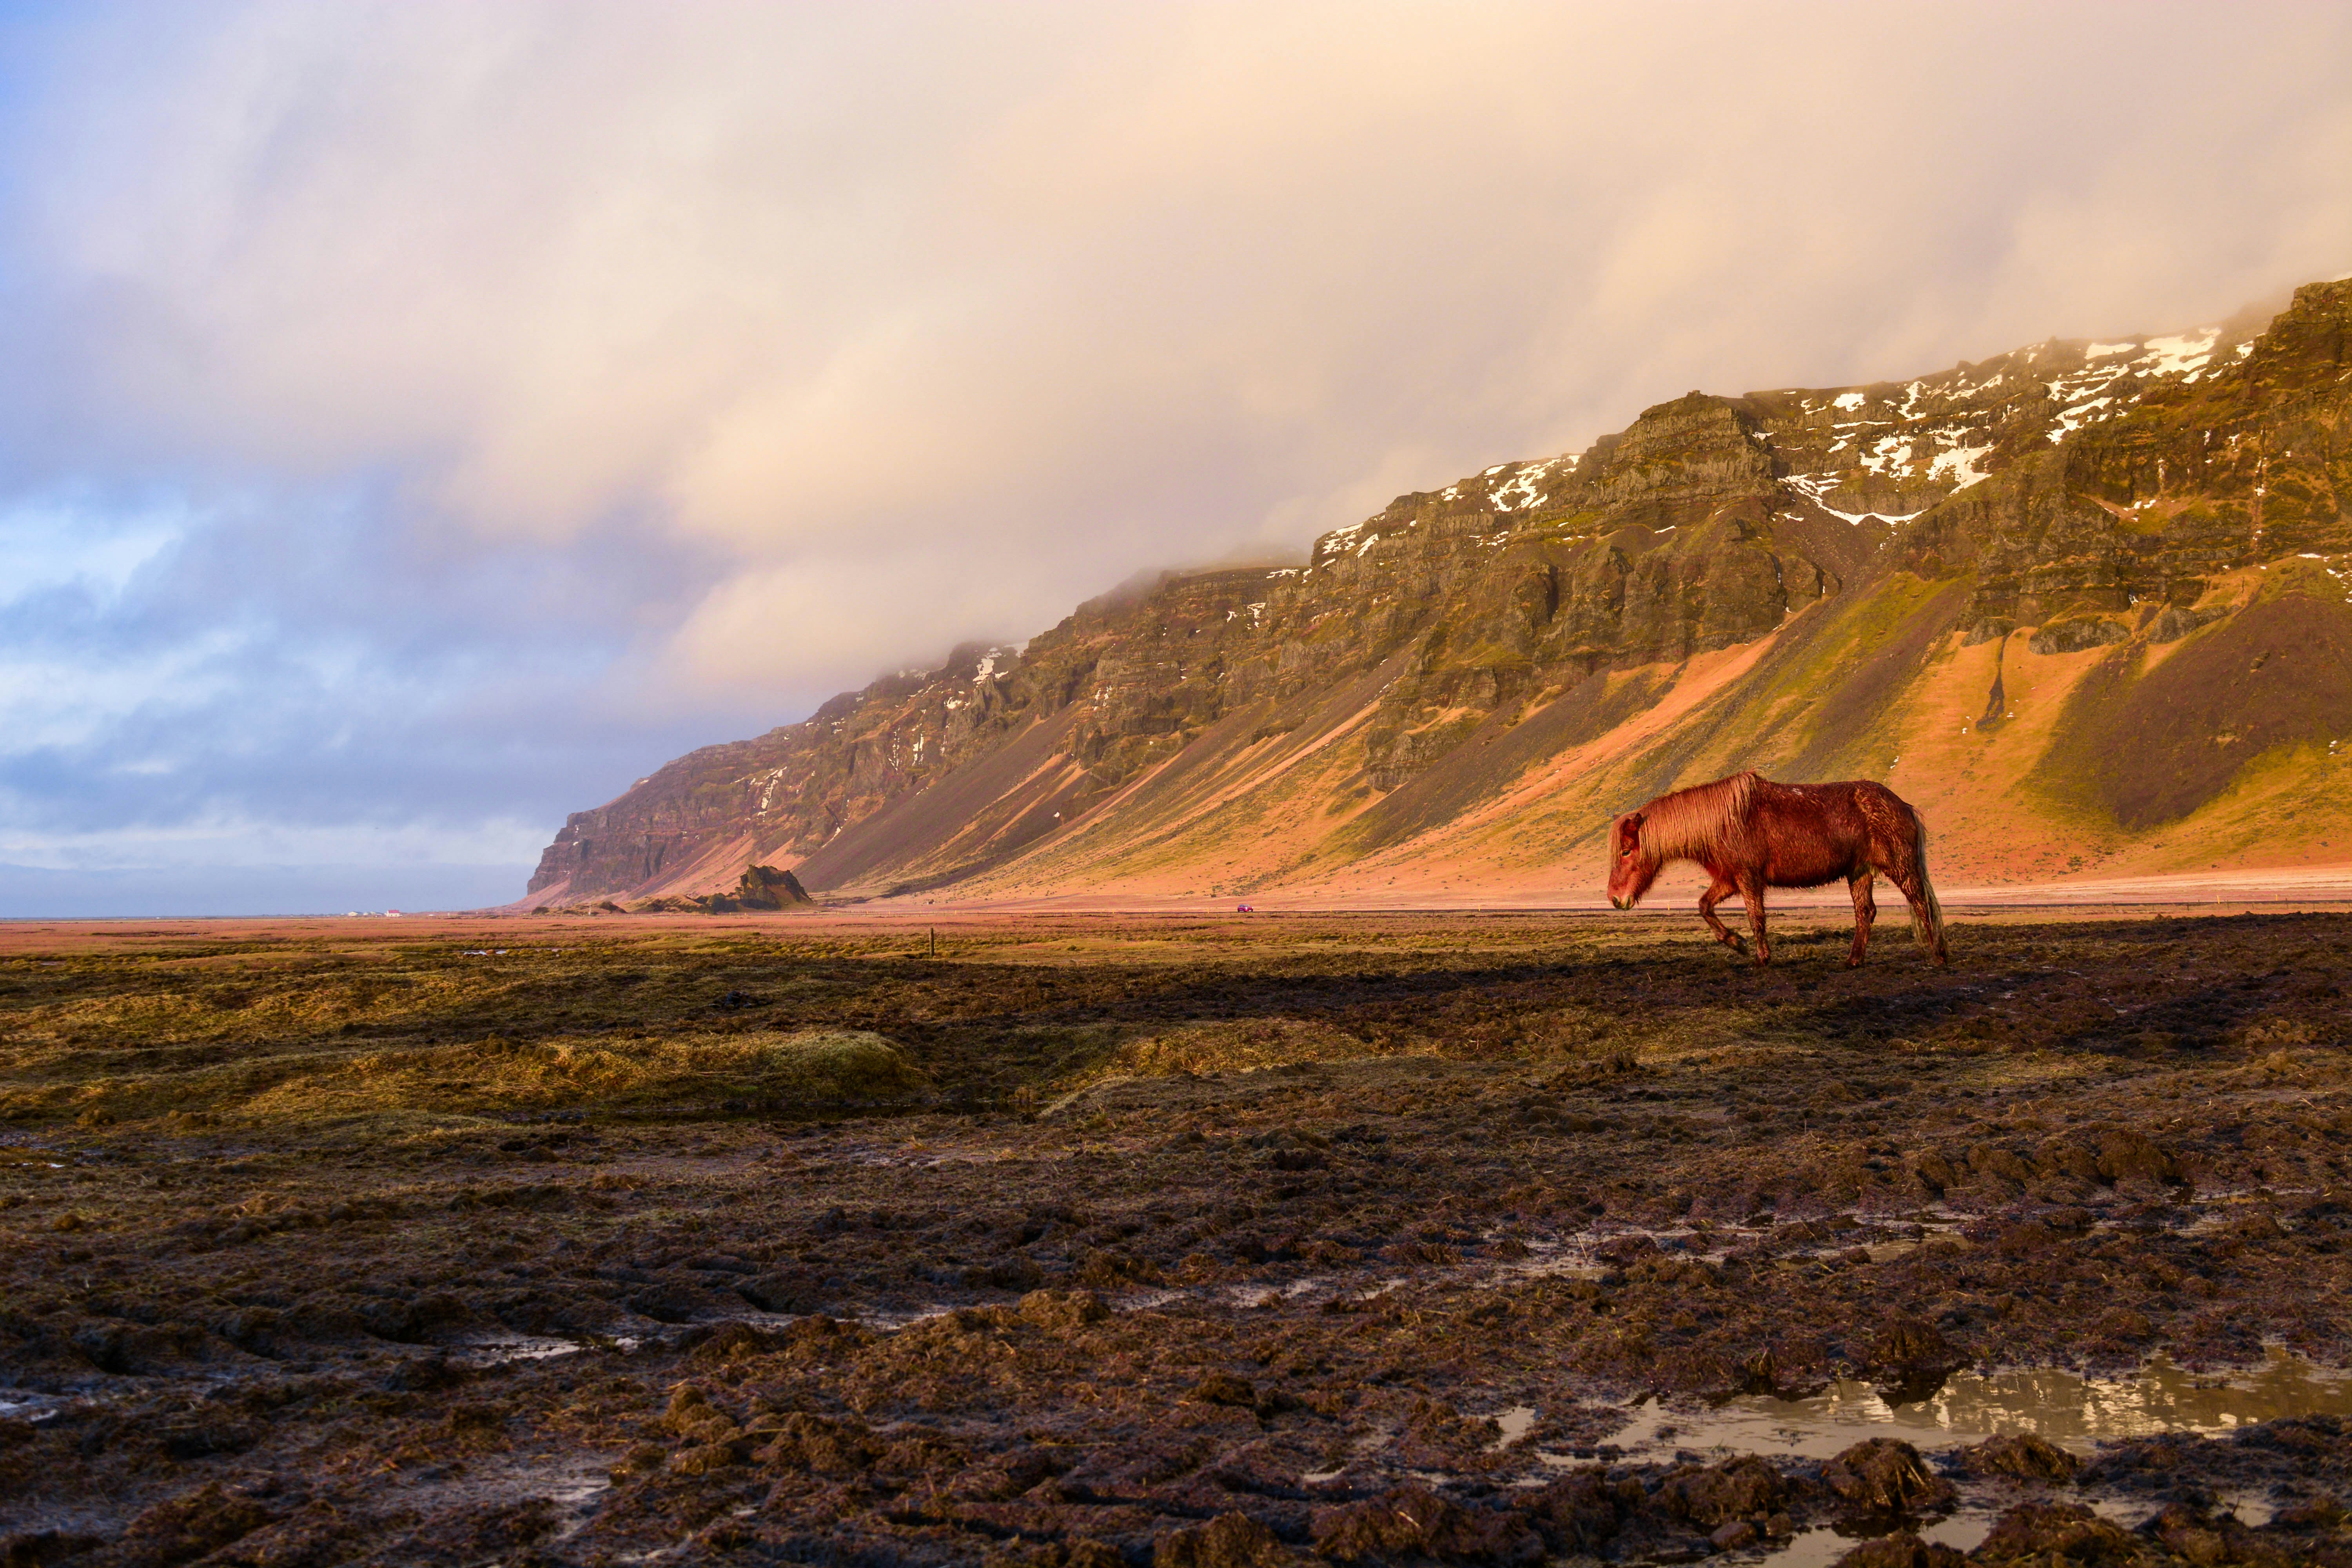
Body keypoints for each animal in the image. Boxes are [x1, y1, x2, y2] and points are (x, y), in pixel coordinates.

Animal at [1605, 771, 1947, 967]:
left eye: (1626, 851)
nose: (1615, 899)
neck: (1724, 822)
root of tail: (1903, 806)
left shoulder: (1748, 878)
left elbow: (1757, 918)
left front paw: (1761, 958)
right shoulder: (1729, 879)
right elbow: (1704, 906)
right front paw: (1735, 943)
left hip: (1900, 866)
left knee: (1922, 904)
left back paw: (1939, 955)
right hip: (1859, 872)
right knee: (1866, 912)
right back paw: (1853, 960)